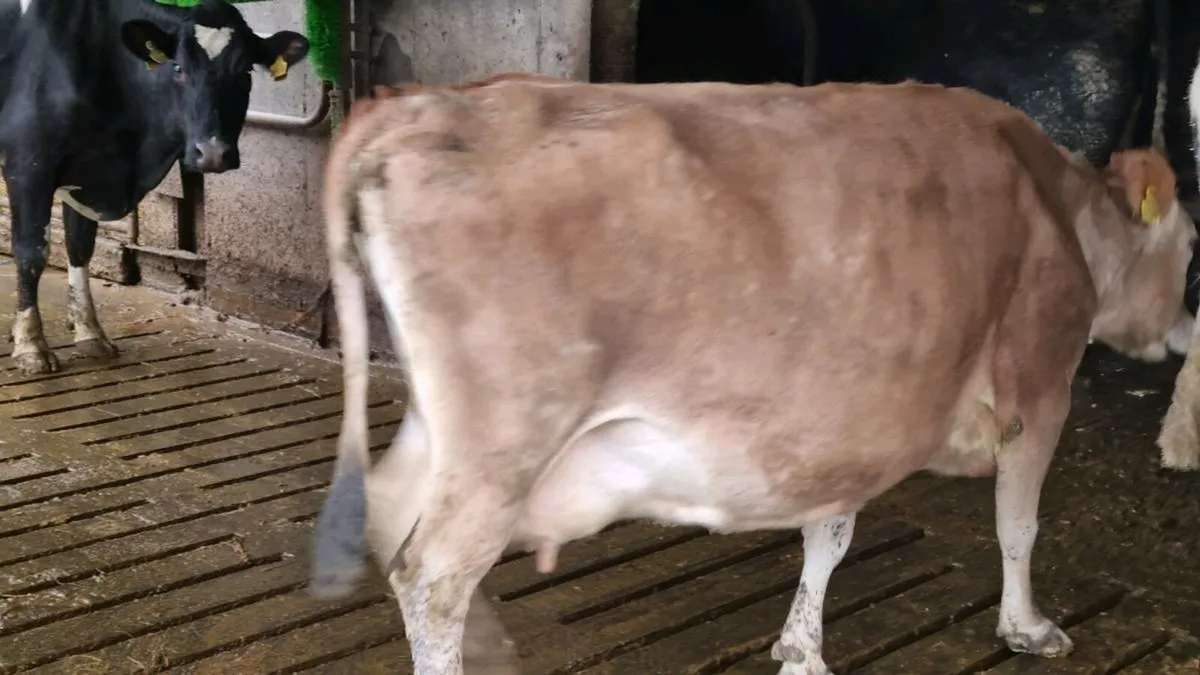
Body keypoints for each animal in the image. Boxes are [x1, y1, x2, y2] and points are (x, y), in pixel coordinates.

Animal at [0, 0, 309, 374]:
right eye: (178, 68)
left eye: (246, 72)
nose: (213, 153)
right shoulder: (28, 164)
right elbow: (31, 252)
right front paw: (31, 346)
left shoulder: (88, 168)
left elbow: (79, 247)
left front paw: (90, 333)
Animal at [307, 76, 1195, 674]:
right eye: (1190, 249)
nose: (1188, 333)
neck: (1065, 214)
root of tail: (421, 105)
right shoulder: (1041, 385)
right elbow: (1018, 523)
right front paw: (1028, 626)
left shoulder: (846, 423)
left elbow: (829, 535)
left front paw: (801, 646)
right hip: (508, 437)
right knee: (433, 576)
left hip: (444, 428)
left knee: (392, 513)